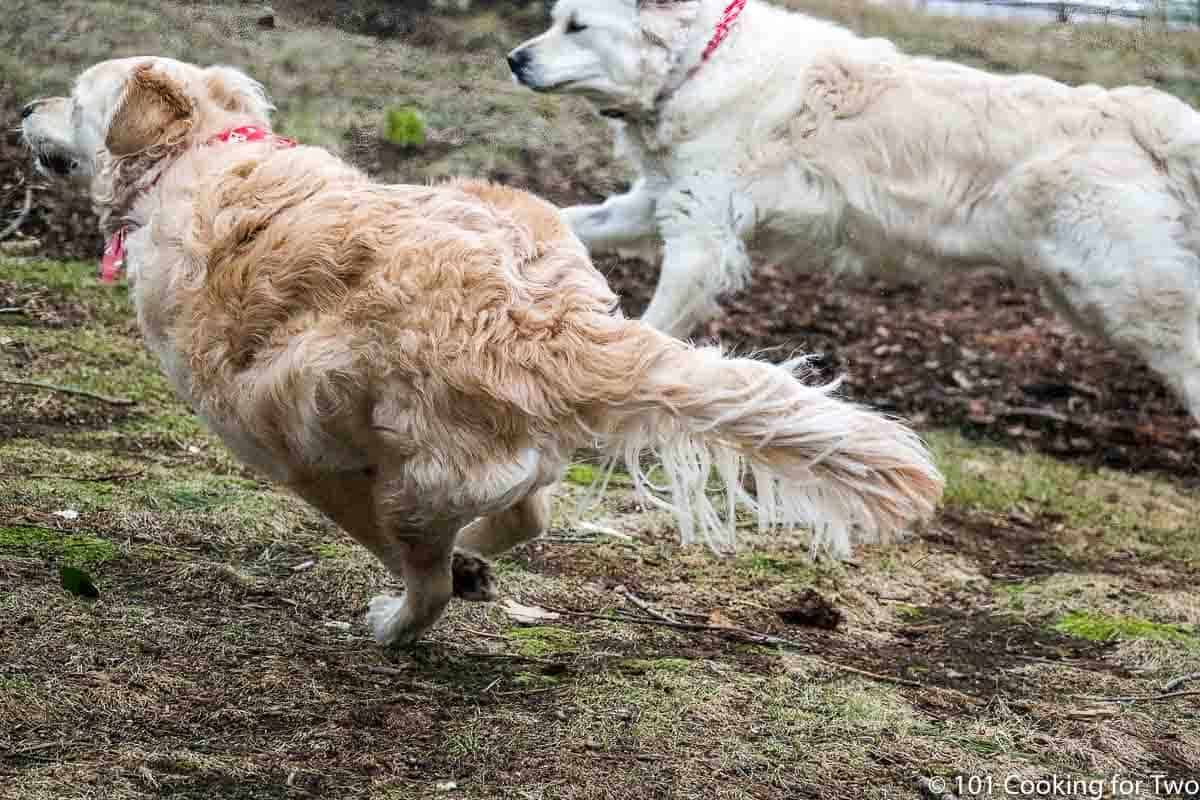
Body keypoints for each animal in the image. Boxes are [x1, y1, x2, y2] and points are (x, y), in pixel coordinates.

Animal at [14, 54, 940, 642]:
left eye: (73, 96)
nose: (22, 107)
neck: (197, 155)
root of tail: (541, 323)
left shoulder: (285, 446)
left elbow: (364, 529)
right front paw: (476, 567)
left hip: (407, 476)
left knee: (424, 576)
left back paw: (398, 622)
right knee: (526, 516)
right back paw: (475, 562)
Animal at [511, 0, 1200, 424]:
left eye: (577, 26)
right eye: (554, 20)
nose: (515, 59)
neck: (700, 63)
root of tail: (1137, 113)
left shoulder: (702, 239)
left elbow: (655, 327)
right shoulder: (656, 202)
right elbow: (570, 217)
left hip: (1132, 295)